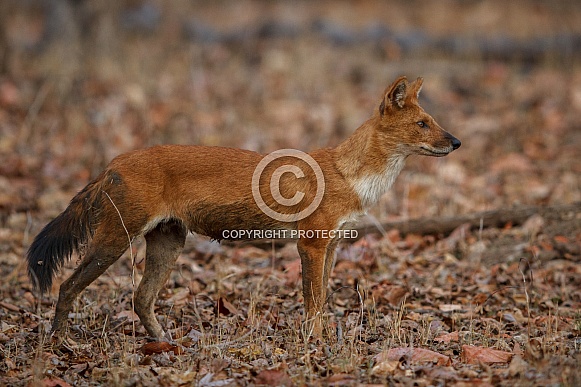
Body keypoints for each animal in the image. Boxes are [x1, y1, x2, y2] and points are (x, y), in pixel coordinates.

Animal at [27, 76, 460, 340]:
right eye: (422, 124)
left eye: (433, 120)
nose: (456, 142)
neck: (349, 173)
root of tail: (112, 163)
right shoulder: (311, 244)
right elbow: (313, 302)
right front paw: (315, 344)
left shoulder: (333, 244)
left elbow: (323, 298)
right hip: (114, 241)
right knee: (67, 286)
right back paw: (59, 343)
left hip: (169, 244)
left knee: (140, 299)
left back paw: (165, 344)